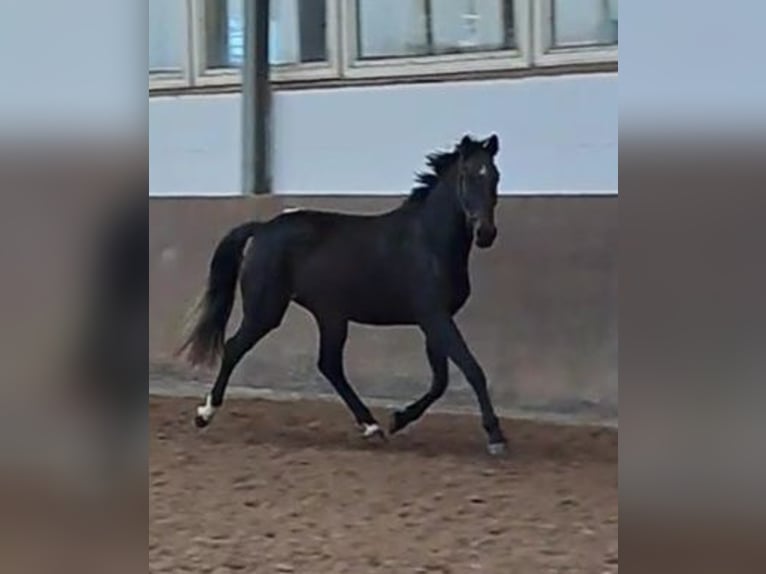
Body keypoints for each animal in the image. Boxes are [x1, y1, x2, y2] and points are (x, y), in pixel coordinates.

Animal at [179, 133, 507, 455]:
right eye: (467, 175)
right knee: (234, 347)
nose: (486, 233)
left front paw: (398, 419)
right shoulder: (434, 317)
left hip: (330, 316)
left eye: (495, 176)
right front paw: (495, 437)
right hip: (267, 310)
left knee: (329, 365)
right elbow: (471, 369)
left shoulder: (434, 321)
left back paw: (372, 427)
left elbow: (440, 381)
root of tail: (262, 229)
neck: (428, 241)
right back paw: (204, 414)